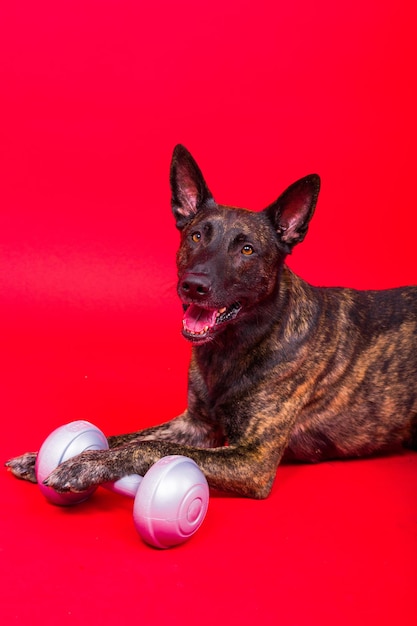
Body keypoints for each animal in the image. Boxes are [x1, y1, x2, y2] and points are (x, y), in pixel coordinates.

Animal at [6, 144, 416, 494]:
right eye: (196, 236)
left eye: (247, 250)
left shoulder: (252, 460)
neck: (235, 345)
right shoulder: (193, 425)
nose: (194, 285)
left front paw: (86, 464)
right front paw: (41, 457)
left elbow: (150, 449)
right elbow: (127, 436)